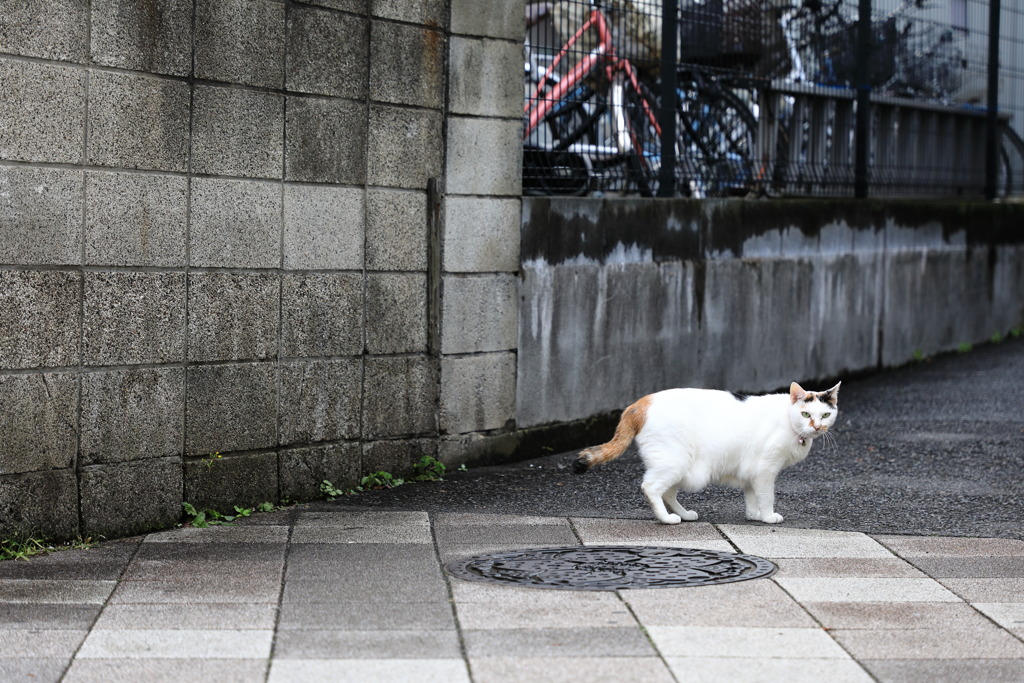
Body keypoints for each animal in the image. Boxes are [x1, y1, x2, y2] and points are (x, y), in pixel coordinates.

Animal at [577, 385, 839, 524]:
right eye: (806, 414)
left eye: (825, 415)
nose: (817, 426)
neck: (788, 420)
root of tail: (640, 403)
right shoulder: (765, 470)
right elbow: (767, 496)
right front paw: (767, 516)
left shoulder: (752, 471)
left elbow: (751, 495)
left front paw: (753, 515)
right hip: (673, 462)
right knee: (650, 488)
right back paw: (667, 519)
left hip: (681, 468)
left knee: (668, 492)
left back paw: (684, 514)